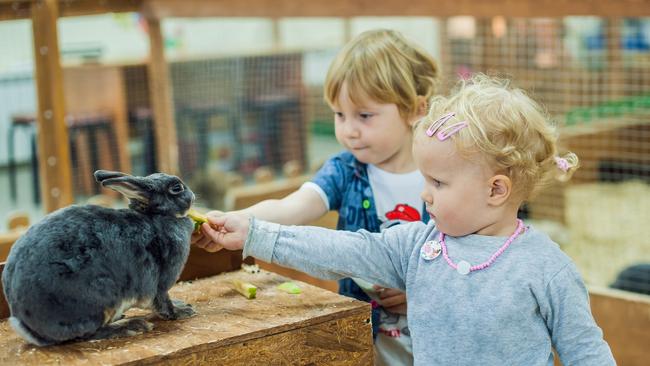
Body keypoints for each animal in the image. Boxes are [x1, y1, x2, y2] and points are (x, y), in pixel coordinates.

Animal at [2, 170, 196, 344]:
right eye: (177, 188)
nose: (193, 196)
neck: (156, 217)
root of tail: (27, 324)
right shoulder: (161, 283)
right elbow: (163, 302)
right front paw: (182, 311)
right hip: (101, 298)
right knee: (87, 334)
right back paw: (131, 326)